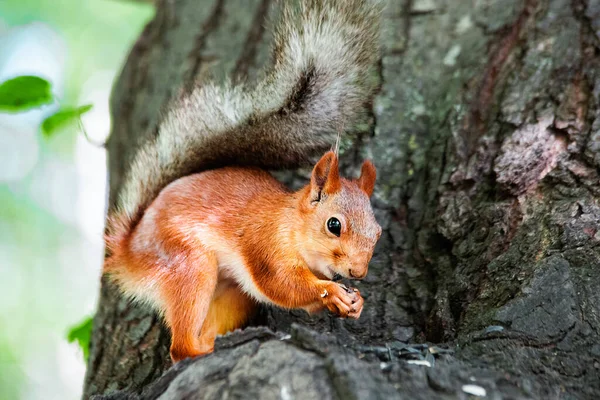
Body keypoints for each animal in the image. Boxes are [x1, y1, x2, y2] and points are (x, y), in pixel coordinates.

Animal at [102, 0, 380, 362]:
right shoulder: (264, 246)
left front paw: (355, 301)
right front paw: (331, 290)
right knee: (180, 347)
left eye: (378, 232)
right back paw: (203, 350)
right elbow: (282, 286)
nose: (358, 273)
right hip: (188, 265)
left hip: (230, 291)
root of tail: (129, 250)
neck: (291, 225)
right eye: (334, 225)